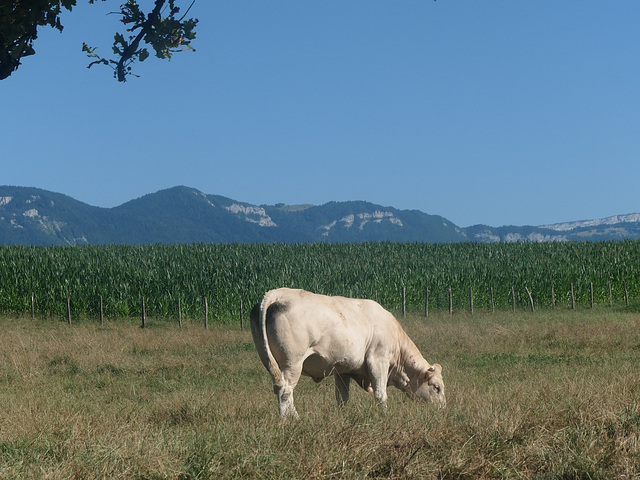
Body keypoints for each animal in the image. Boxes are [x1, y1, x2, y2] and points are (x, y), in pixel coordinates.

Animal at [250, 286, 444, 418]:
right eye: (437, 387)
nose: (442, 409)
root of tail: (276, 293)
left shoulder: (343, 369)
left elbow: (342, 397)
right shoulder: (378, 360)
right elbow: (381, 394)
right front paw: (385, 415)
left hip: (269, 360)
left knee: (280, 387)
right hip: (292, 363)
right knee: (285, 390)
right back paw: (291, 420)